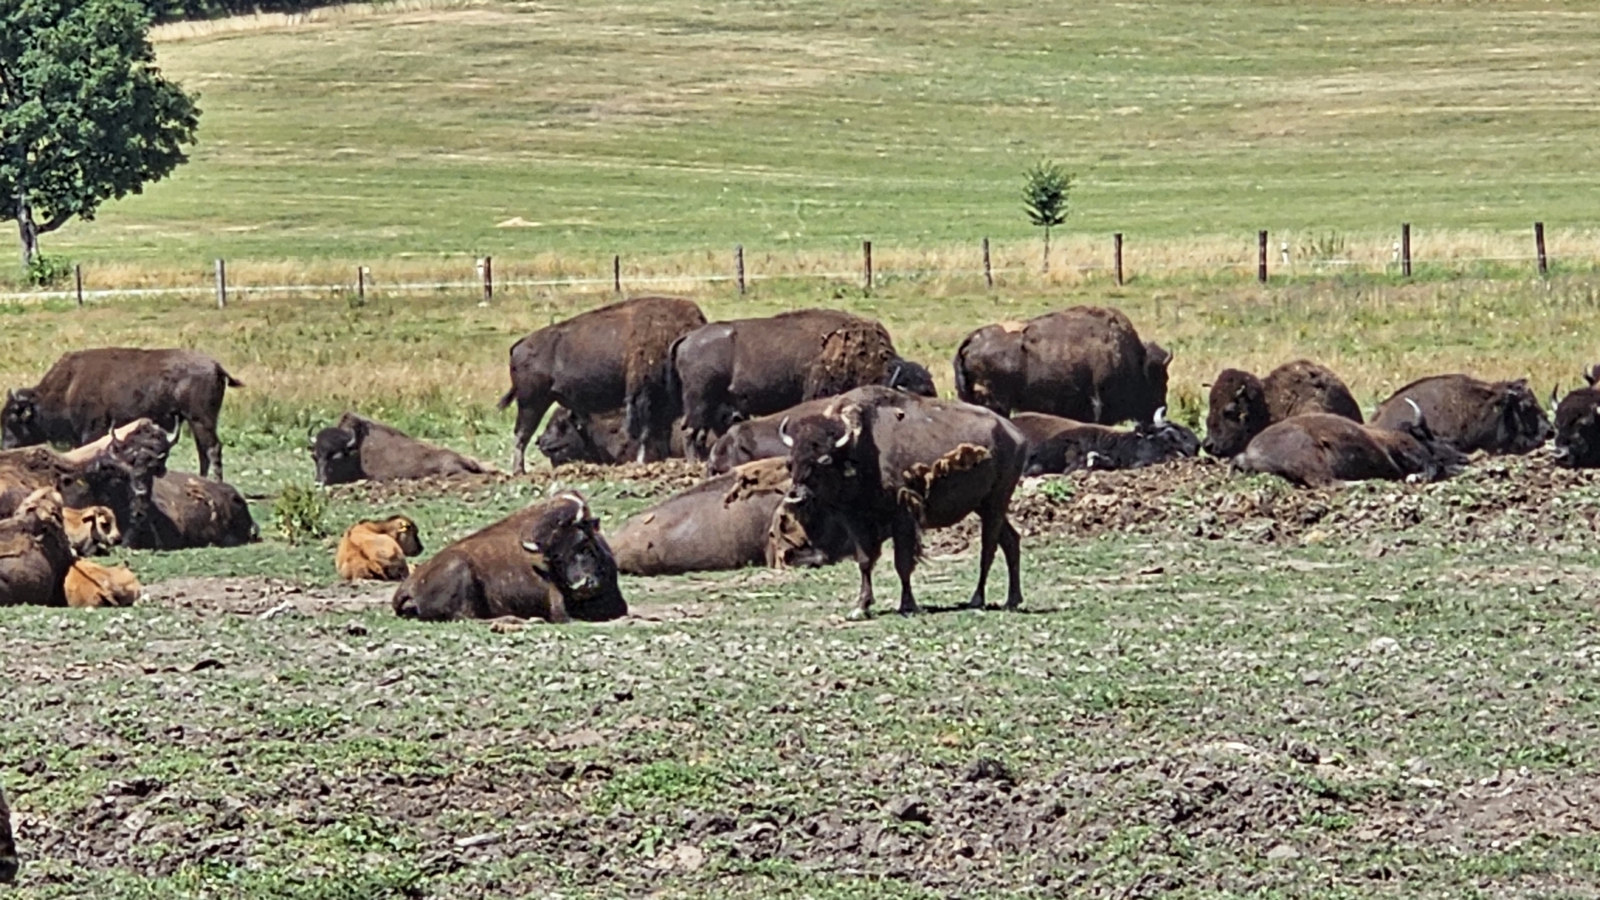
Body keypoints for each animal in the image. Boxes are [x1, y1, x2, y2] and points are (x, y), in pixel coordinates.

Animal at [1, 348, 241, 480]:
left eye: (13, 418)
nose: (5, 446)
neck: (69, 385)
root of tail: (216, 366)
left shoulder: (91, 431)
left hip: (201, 419)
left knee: (212, 449)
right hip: (195, 421)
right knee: (203, 451)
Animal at [392, 492, 626, 623]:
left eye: (585, 544)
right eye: (555, 559)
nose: (582, 585)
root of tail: (406, 587)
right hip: (460, 572)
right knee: (468, 618)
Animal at [500, 296, 707, 473]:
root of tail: (519, 345)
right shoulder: (644, 397)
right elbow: (646, 432)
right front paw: (643, 461)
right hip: (531, 403)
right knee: (521, 435)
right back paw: (519, 472)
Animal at [780, 386, 1027, 619]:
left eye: (824, 461)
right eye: (790, 463)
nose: (796, 496)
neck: (858, 449)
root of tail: (1015, 434)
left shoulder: (902, 517)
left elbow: (903, 563)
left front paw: (908, 605)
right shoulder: (855, 521)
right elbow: (865, 561)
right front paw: (860, 607)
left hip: (996, 503)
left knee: (989, 548)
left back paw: (977, 599)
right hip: (984, 506)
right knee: (1010, 541)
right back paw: (1012, 600)